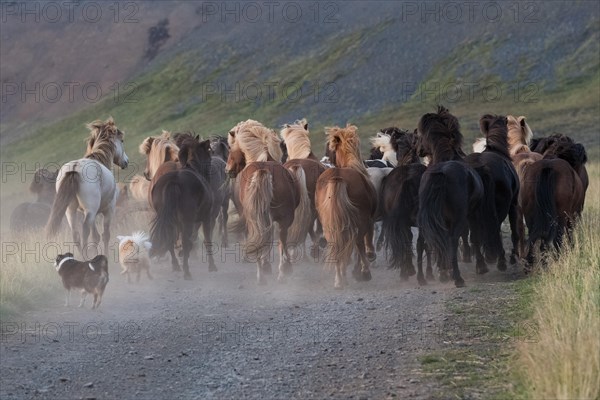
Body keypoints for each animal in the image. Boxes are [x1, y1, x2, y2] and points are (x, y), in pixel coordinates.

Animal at [47, 117, 129, 258]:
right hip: (90, 211)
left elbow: (95, 237)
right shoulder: (108, 210)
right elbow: (105, 235)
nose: (126, 162)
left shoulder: (91, 213)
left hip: (71, 211)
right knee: (84, 230)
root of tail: (74, 168)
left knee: (76, 235)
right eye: (122, 140)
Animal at [225, 119, 300, 284]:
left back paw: (264, 275)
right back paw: (281, 272)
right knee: (280, 239)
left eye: (230, 147)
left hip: (257, 219)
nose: (227, 170)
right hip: (283, 219)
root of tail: (263, 170)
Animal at [314, 123, 376, 290]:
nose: (325, 158)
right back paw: (365, 272)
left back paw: (339, 280)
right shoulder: (369, 220)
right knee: (358, 242)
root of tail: (337, 177)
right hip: (360, 220)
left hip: (330, 224)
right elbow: (365, 241)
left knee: (336, 244)